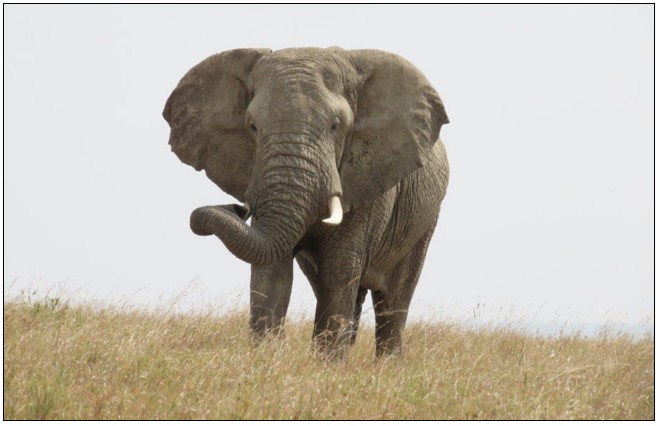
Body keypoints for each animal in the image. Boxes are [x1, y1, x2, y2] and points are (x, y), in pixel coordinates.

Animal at [163, 47, 449, 357]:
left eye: (336, 126)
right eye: (252, 126)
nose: (235, 208)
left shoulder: (368, 182)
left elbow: (339, 269)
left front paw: (326, 365)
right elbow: (272, 271)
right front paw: (268, 359)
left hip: (424, 221)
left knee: (393, 300)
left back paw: (387, 364)